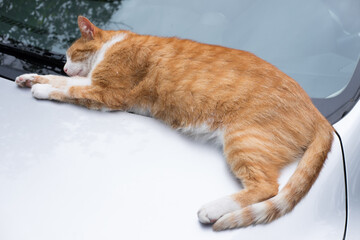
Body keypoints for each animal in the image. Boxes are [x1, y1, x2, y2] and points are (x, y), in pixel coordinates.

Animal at [14, 15, 334, 231]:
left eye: (71, 54)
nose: (66, 66)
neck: (115, 45)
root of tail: (317, 113)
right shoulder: (94, 84)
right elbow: (60, 81)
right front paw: (31, 77)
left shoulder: (107, 93)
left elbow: (67, 89)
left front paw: (41, 89)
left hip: (244, 139)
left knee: (268, 186)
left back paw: (213, 210)